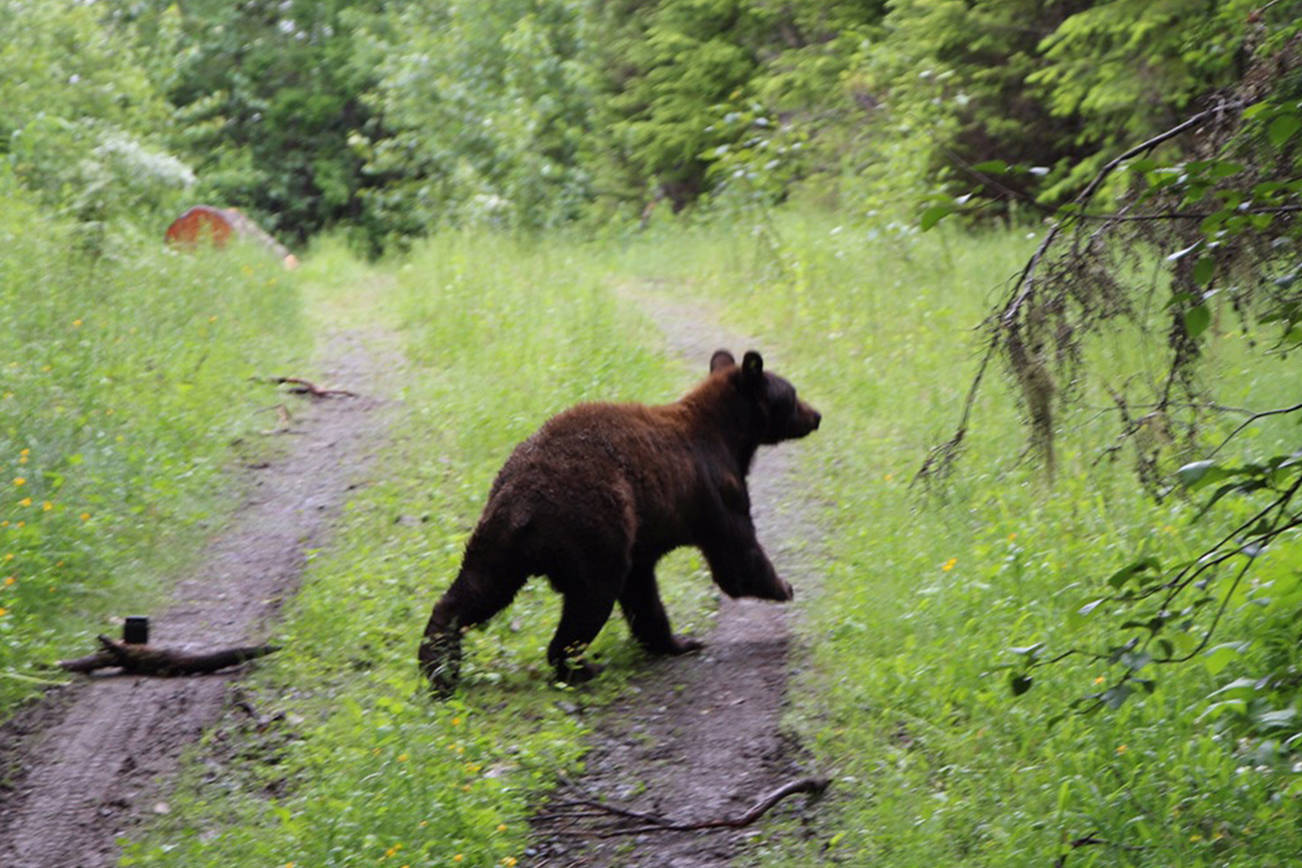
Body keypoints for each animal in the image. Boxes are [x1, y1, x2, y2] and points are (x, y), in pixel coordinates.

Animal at [421, 348, 817, 697]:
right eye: (793, 393)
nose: (817, 415)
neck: (728, 434)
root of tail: (524, 495)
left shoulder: (642, 540)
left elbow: (643, 591)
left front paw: (677, 640)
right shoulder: (716, 488)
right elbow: (736, 555)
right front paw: (783, 586)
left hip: (501, 536)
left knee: (478, 587)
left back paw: (437, 663)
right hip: (595, 527)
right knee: (590, 598)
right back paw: (579, 665)